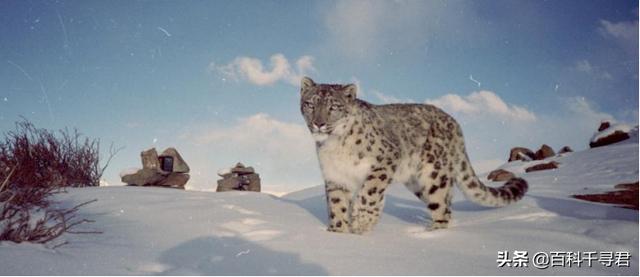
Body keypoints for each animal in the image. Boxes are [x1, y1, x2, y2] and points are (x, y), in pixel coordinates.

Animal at [300, 75, 528, 233]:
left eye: (334, 107)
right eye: (310, 104)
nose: (318, 123)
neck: (334, 145)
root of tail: (454, 122)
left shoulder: (385, 160)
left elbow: (369, 193)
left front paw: (362, 222)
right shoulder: (335, 176)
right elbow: (336, 205)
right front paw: (338, 232)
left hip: (434, 174)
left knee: (443, 205)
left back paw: (433, 233)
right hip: (417, 182)